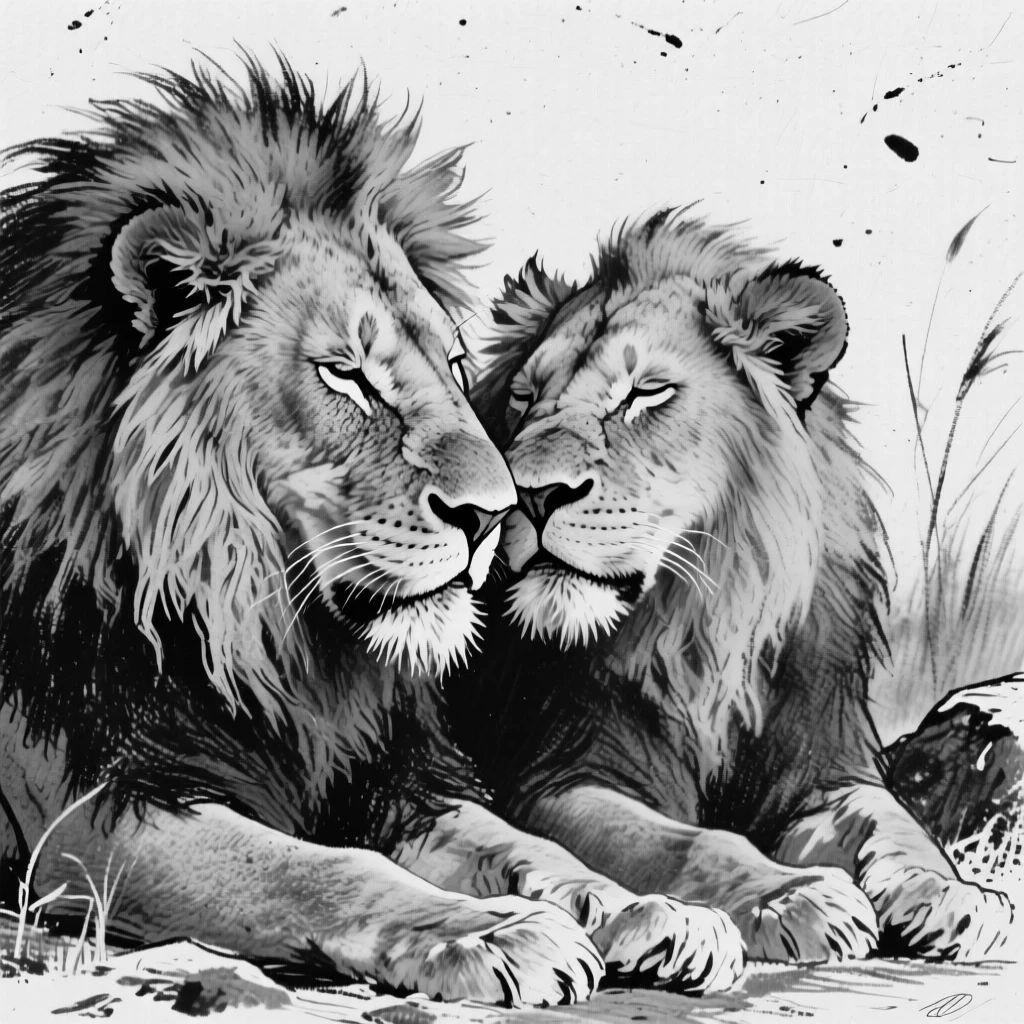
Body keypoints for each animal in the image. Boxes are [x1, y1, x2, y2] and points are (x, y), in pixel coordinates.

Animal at [0, 64, 745, 1004]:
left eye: (455, 366)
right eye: (346, 376)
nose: (495, 513)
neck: (265, 637)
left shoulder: (394, 776)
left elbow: (531, 848)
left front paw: (648, 909)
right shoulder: (91, 813)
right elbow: (320, 869)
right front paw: (495, 934)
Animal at [451, 208, 1015, 964]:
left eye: (645, 392)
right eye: (524, 399)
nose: (531, 497)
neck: (705, 622)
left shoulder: (822, 766)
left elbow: (893, 821)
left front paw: (954, 894)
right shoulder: (559, 777)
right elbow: (692, 842)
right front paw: (793, 894)